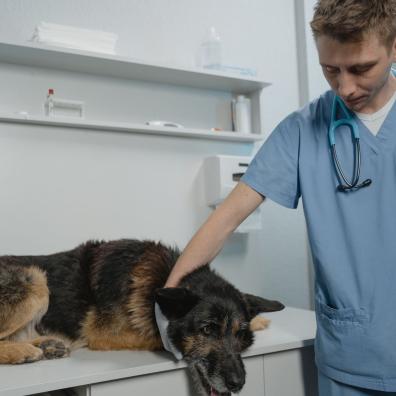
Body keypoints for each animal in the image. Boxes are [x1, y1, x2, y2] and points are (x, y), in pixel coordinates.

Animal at [0, 240, 284, 394]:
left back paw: (47, 345)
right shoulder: (104, 334)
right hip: (35, 278)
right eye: (207, 330)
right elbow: (157, 335)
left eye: (240, 334)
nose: (238, 384)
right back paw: (23, 351)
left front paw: (258, 319)